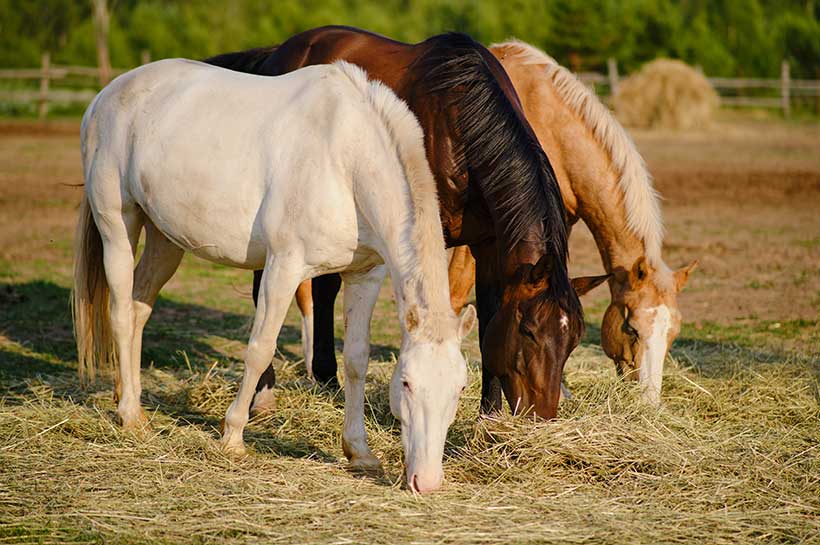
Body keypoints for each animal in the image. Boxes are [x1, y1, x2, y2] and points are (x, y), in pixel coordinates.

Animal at [75, 59, 480, 492]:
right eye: (406, 382)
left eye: (460, 387)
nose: (427, 481)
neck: (346, 161)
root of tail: (106, 95)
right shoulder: (284, 267)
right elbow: (260, 349)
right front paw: (233, 437)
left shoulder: (365, 275)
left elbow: (356, 359)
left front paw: (359, 453)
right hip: (118, 224)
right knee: (120, 313)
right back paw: (130, 416)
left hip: (166, 240)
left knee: (138, 309)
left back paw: (128, 397)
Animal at [205, 24, 604, 416]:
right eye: (529, 331)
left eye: (573, 339)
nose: (541, 415)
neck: (457, 127)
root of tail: (280, 52)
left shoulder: (490, 245)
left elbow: (488, 315)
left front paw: (488, 413)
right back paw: (265, 391)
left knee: (325, 290)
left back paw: (329, 379)